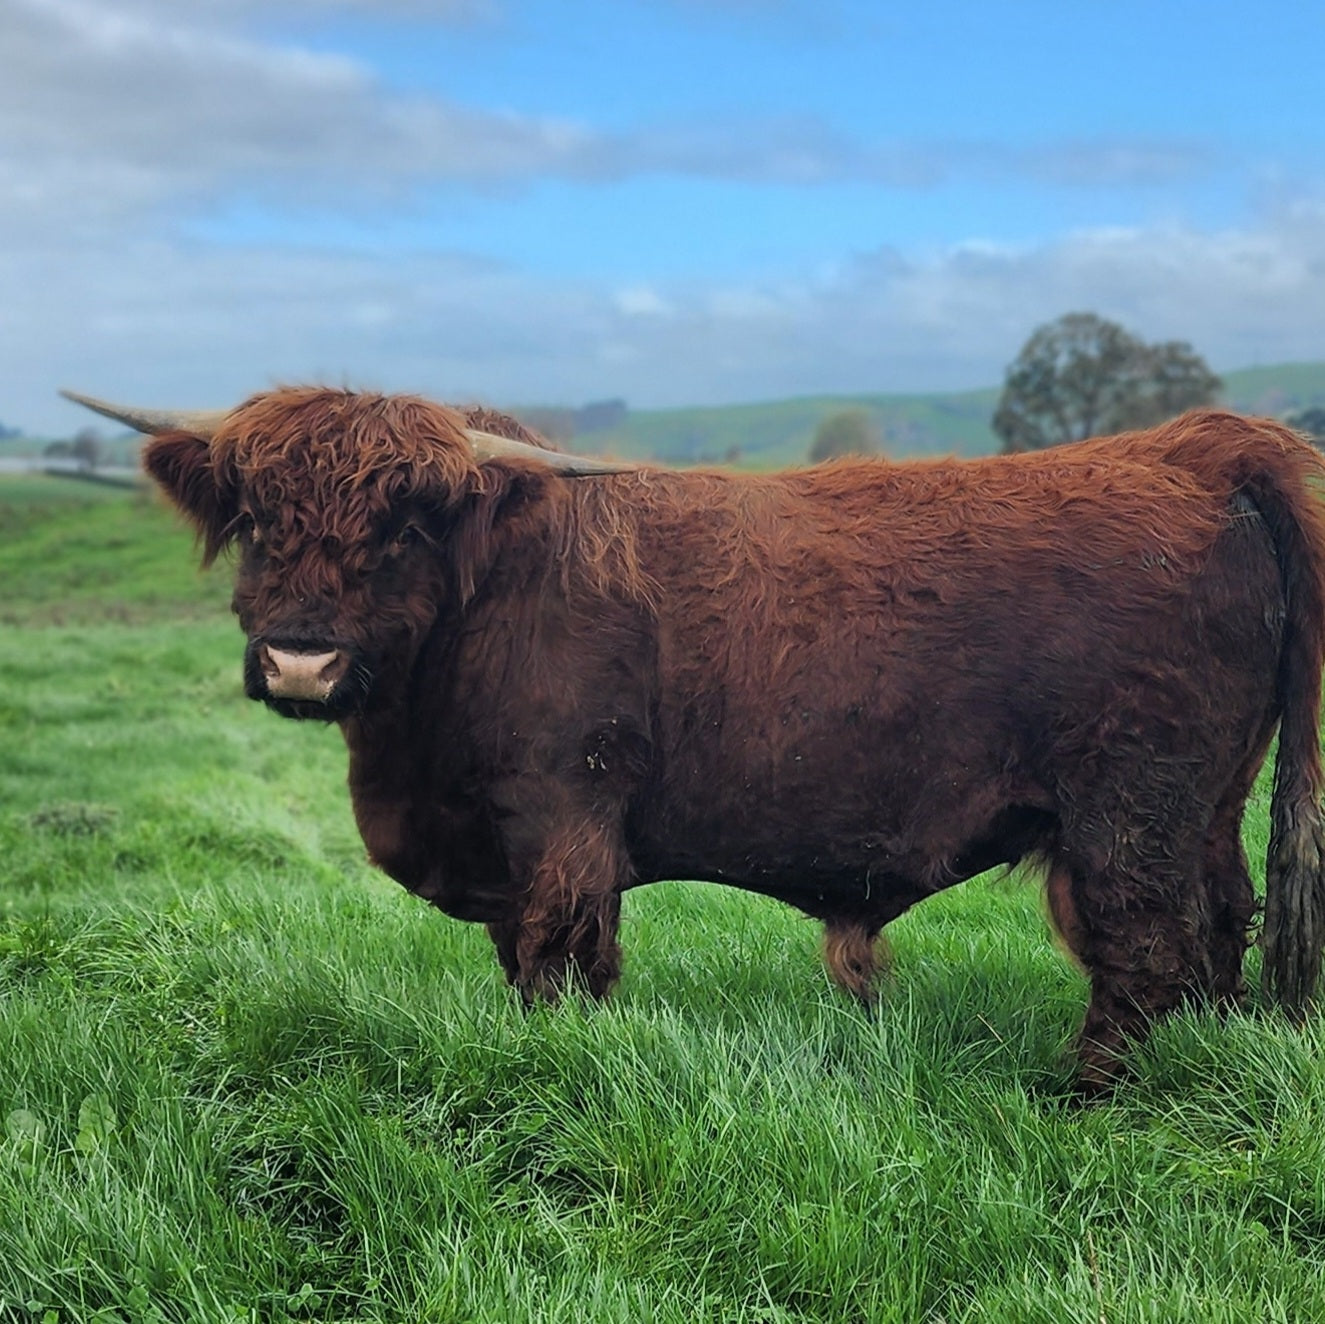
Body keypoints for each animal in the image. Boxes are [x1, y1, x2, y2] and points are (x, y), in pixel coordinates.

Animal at [67, 386, 1325, 1086]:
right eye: (257, 517)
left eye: (407, 522)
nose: (301, 659)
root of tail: (1192, 445)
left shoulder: (560, 822)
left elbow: (556, 961)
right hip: (1205, 800)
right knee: (1216, 925)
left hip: (1128, 802)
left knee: (1144, 946)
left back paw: (1083, 1095)